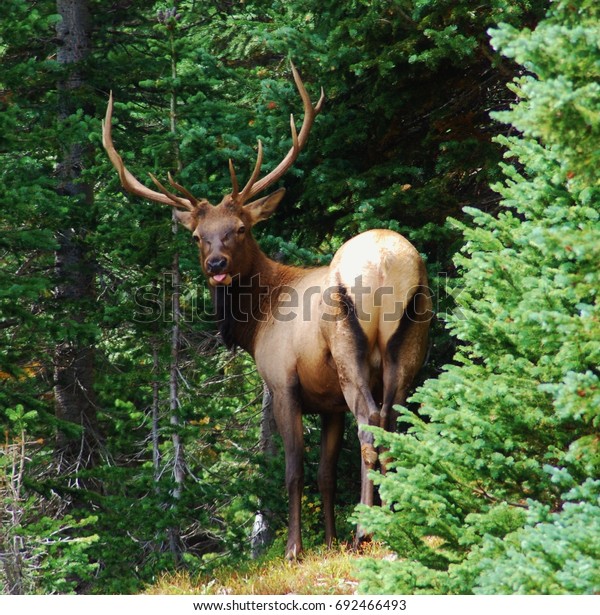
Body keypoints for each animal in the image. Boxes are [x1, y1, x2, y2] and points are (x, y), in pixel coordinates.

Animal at [103, 65, 432, 560]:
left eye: (240, 228)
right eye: (198, 236)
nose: (216, 265)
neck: (257, 322)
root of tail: (385, 262)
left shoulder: (282, 381)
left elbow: (294, 469)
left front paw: (294, 548)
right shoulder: (328, 403)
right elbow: (325, 474)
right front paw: (328, 542)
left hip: (348, 347)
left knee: (371, 423)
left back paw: (365, 530)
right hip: (409, 342)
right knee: (394, 424)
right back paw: (391, 524)